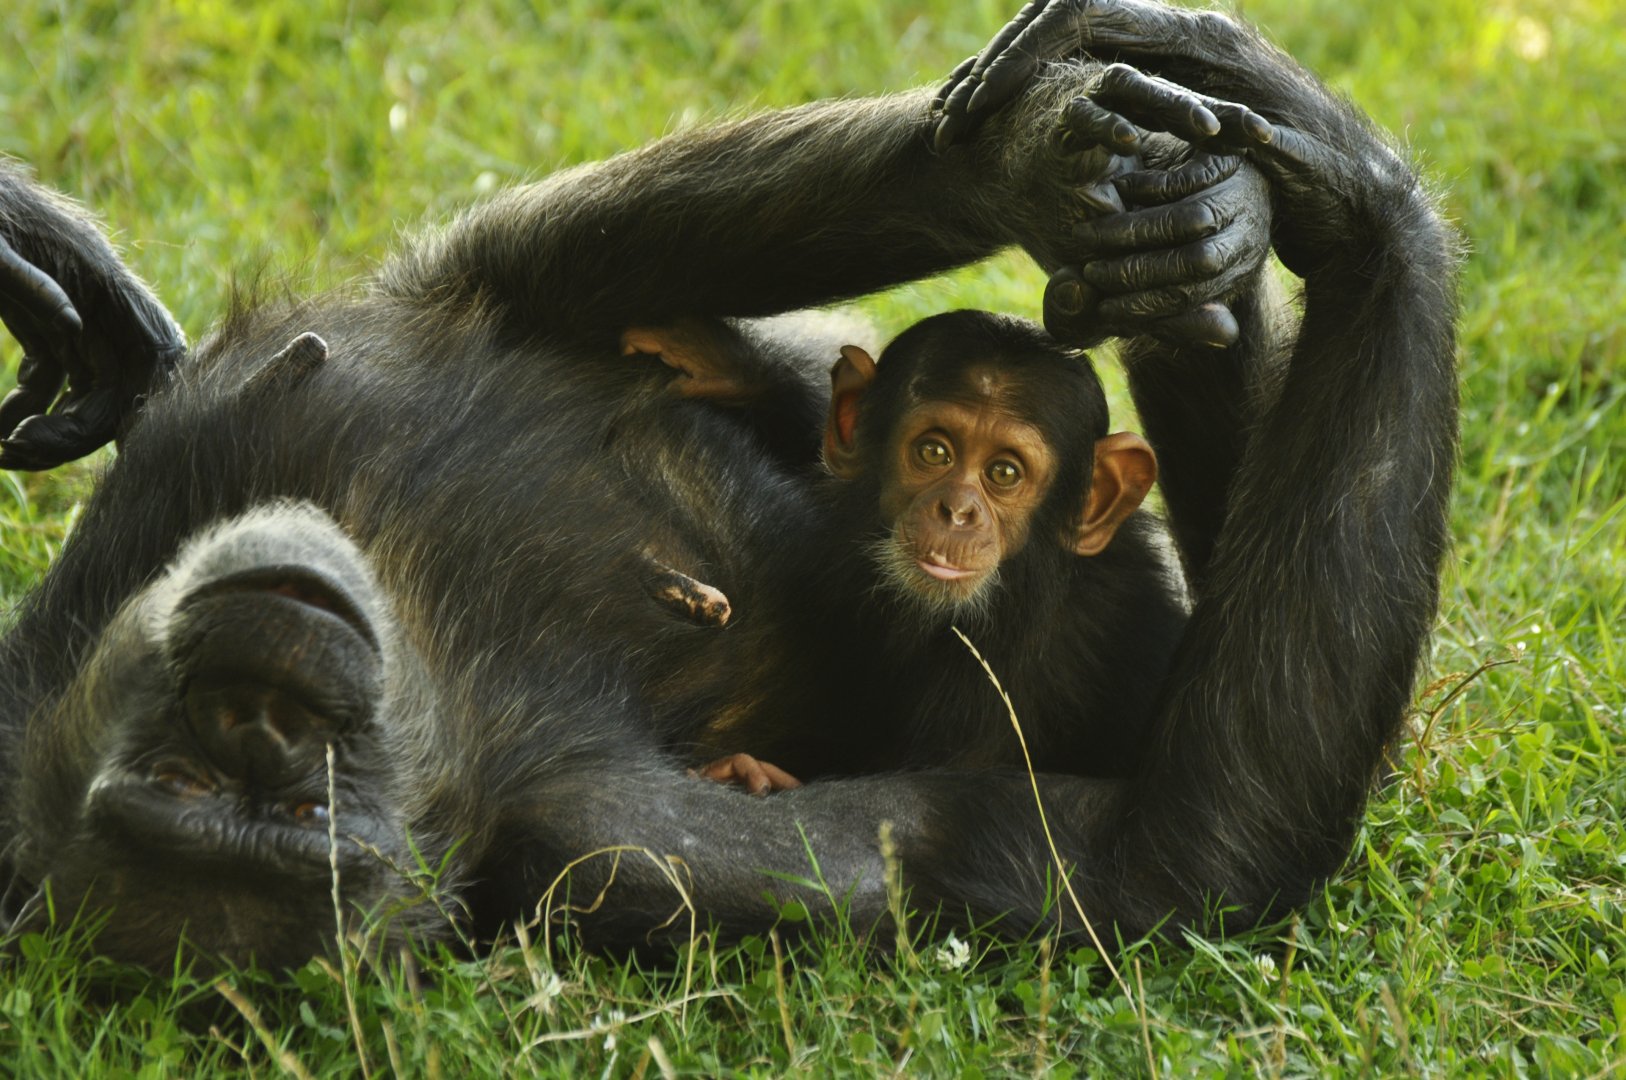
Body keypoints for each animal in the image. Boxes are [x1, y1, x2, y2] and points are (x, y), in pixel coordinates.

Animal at [0, 0, 1456, 971]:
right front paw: (1373, 213)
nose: (262, 699)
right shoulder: (601, 836)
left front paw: (1046, 147)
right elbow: (1168, 855)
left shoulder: (197, 453)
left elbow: (581, 254)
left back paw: (1192, 249)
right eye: (233, 790)